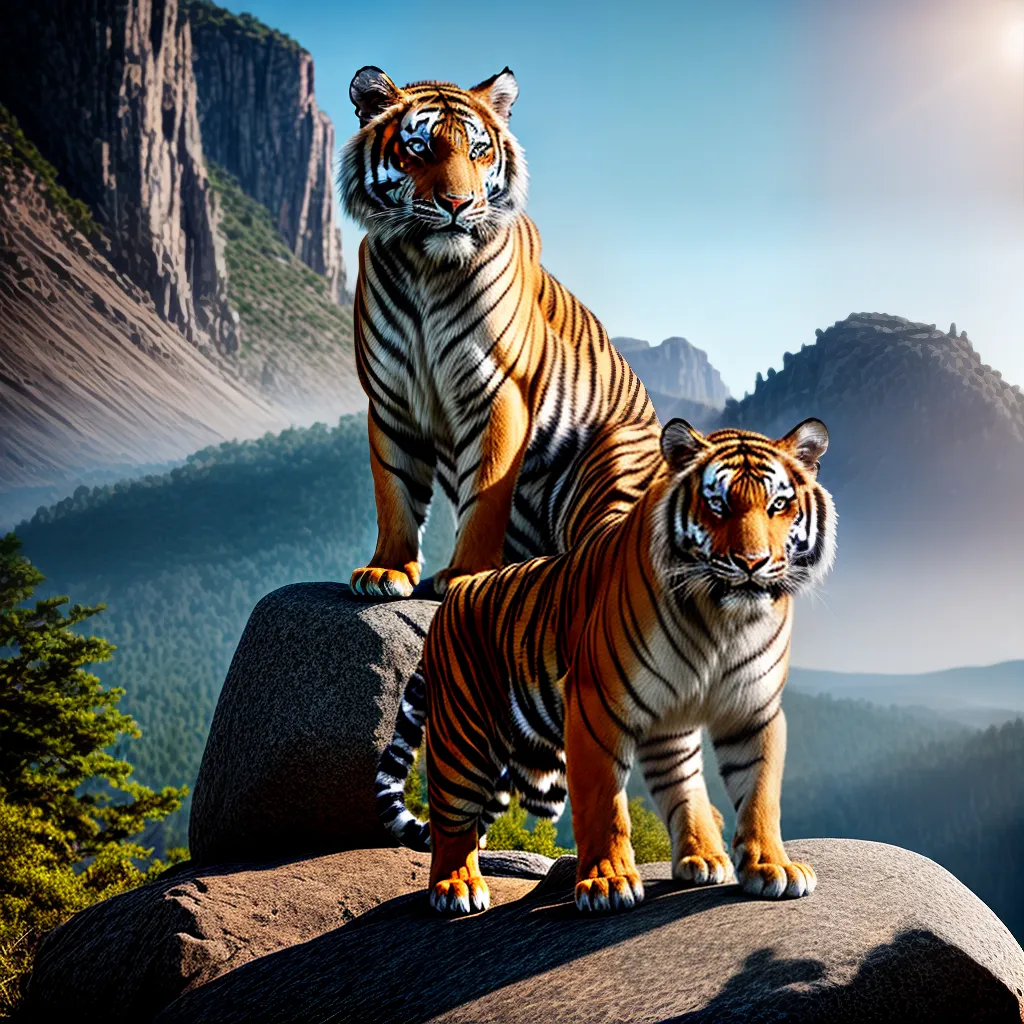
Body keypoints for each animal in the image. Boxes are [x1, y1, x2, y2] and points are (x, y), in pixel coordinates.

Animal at [339, 66, 661, 599]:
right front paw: (386, 570)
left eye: (477, 150)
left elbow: (486, 489)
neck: (426, 266)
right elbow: (394, 486)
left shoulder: (496, 387)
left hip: (616, 456)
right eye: (419, 147)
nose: (457, 202)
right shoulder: (392, 395)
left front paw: (466, 574)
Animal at [376, 417, 837, 914]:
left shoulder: (754, 708)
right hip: (463, 734)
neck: (720, 622)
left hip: (662, 726)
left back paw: (702, 855)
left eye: (778, 505)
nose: (752, 563)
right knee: (453, 819)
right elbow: (604, 803)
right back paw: (456, 886)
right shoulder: (595, 704)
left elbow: (759, 792)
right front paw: (607, 882)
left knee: (681, 781)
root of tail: (454, 595)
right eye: (717, 504)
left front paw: (772, 867)